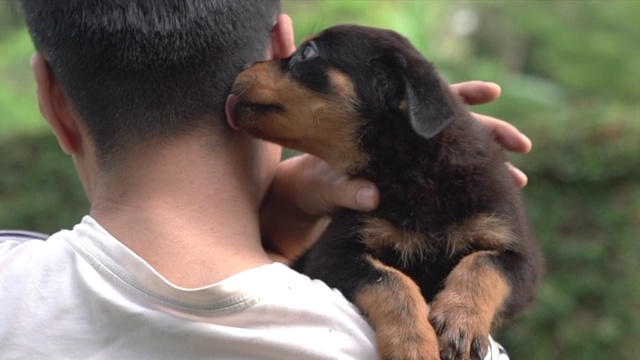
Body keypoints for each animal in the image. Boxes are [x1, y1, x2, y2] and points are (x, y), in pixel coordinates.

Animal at [228, 25, 544, 360]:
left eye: (307, 52)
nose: (242, 65)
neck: (413, 170)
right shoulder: (332, 254)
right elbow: (390, 281)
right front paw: (412, 343)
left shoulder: (521, 255)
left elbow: (482, 266)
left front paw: (460, 321)